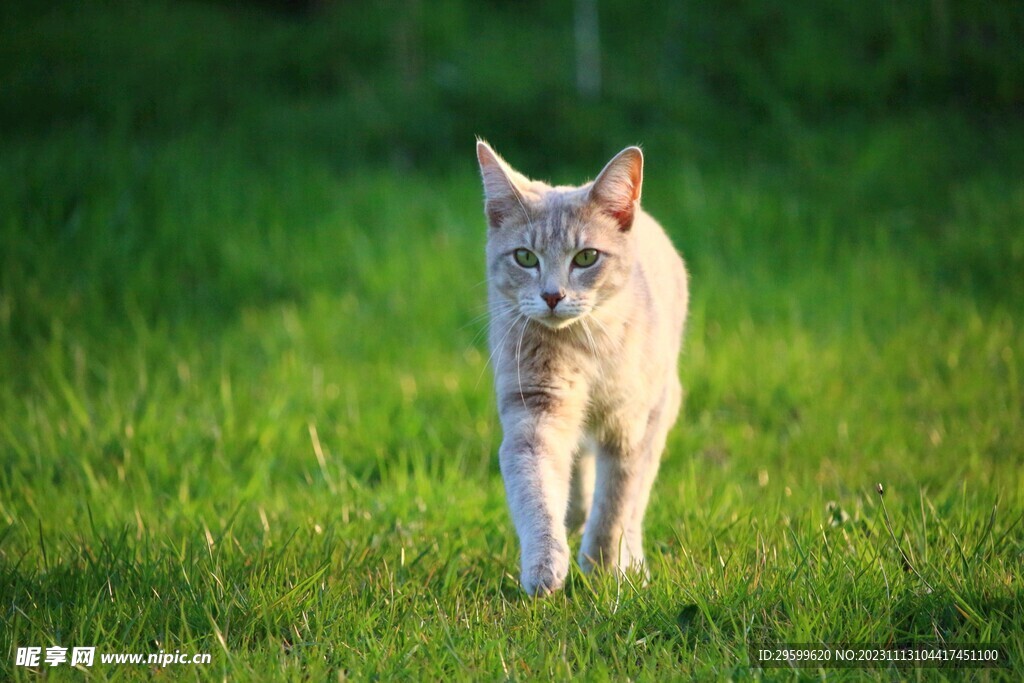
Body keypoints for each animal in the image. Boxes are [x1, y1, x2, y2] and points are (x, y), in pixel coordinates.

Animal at [477, 139, 688, 593]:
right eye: (525, 257)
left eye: (587, 257)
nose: (552, 295)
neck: (583, 349)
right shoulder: (535, 411)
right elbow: (536, 489)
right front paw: (545, 563)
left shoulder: (630, 427)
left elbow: (617, 503)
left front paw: (604, 567)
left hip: (663, 406)